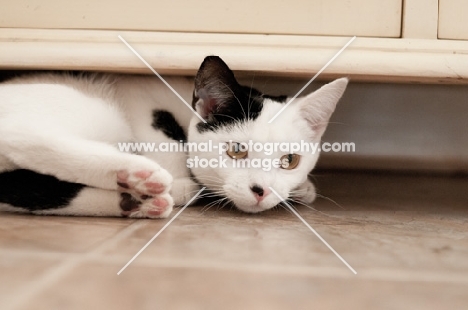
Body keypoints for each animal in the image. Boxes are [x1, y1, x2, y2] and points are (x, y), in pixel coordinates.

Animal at [0, 57, 348, 219]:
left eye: (290, 161)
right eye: (236, 150)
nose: (261, 190)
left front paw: (301, 189)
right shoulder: (142, 98)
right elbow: (167, 146)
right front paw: (185, 182)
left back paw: (135, 200)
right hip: (93, 114)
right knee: (23, 136)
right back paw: (143, 176)